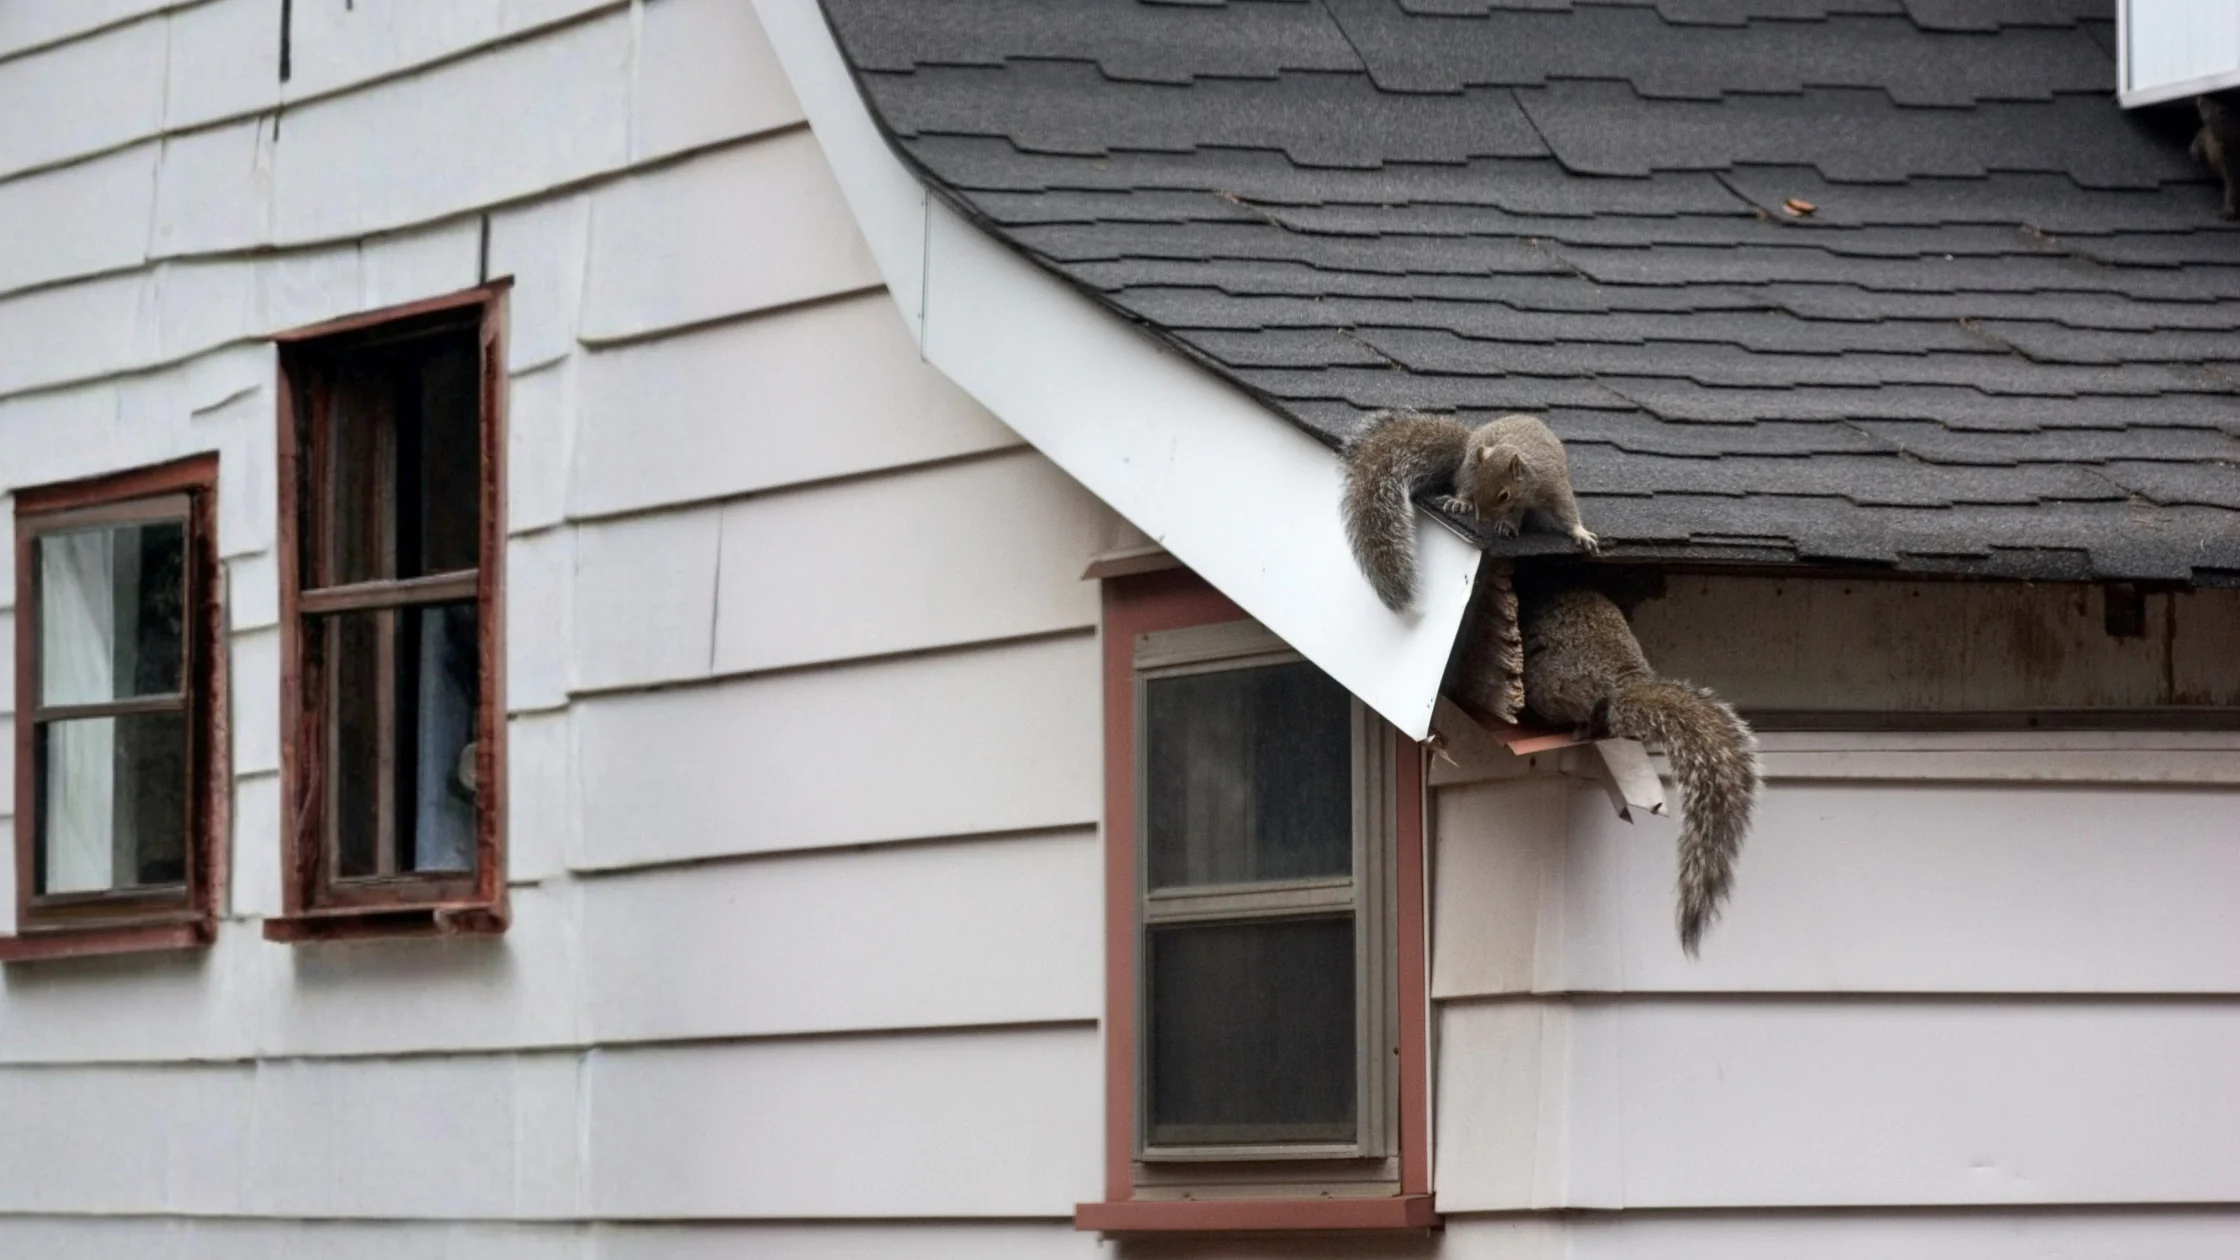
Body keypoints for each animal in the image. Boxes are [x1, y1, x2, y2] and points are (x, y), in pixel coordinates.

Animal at [1342, 410, 1599, 612]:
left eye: (1503, 494)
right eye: (1478, 486)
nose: (1481, 518)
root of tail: (1469, 443)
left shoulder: (1553, 484)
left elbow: (1566, 509)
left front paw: (1580, 532)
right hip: (1469, 464)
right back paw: (1461, 502)